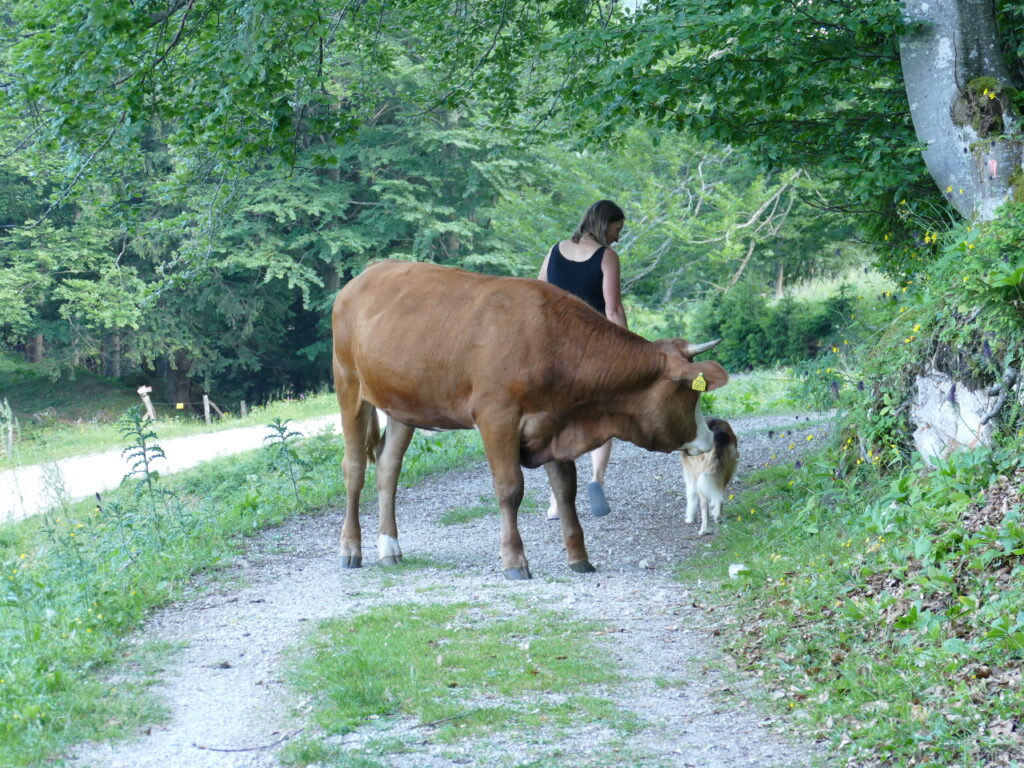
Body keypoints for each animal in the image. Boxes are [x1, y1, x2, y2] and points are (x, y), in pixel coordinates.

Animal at [329, 262, 729, 581]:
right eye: (691, 394)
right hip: (349, 384)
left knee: (388, 469)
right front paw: (515, 560)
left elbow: (566, 490)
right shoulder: (496, 417)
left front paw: (579, 558)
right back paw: (351, 549)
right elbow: (510, 489)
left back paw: (389, 547)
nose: (708, 438)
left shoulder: (555, 423)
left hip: (402, 405)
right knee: (354, 468)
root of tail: (366, 274)